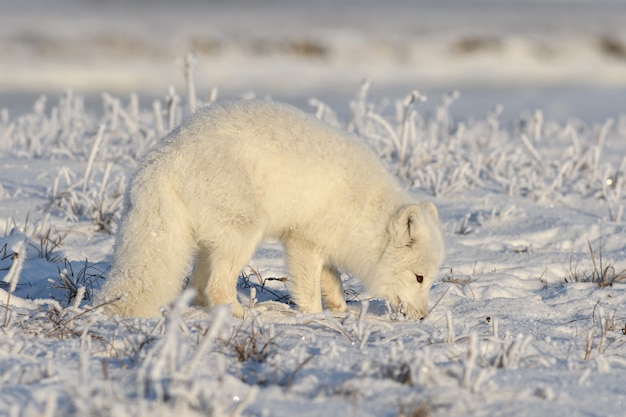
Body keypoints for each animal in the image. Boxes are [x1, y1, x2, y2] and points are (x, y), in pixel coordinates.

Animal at [94, 100, 444, 318]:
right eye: (419, 278)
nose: (423, 317)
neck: (366, 209)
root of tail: (162, 160)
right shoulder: (303, 241)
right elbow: (309, 289)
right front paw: (314, 318)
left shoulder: (325, 242)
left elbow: (332, 281)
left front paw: (340, 310)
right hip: (244, 232)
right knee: (216, 286)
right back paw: (243, 315)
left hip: (211, 241)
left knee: (199, 286)